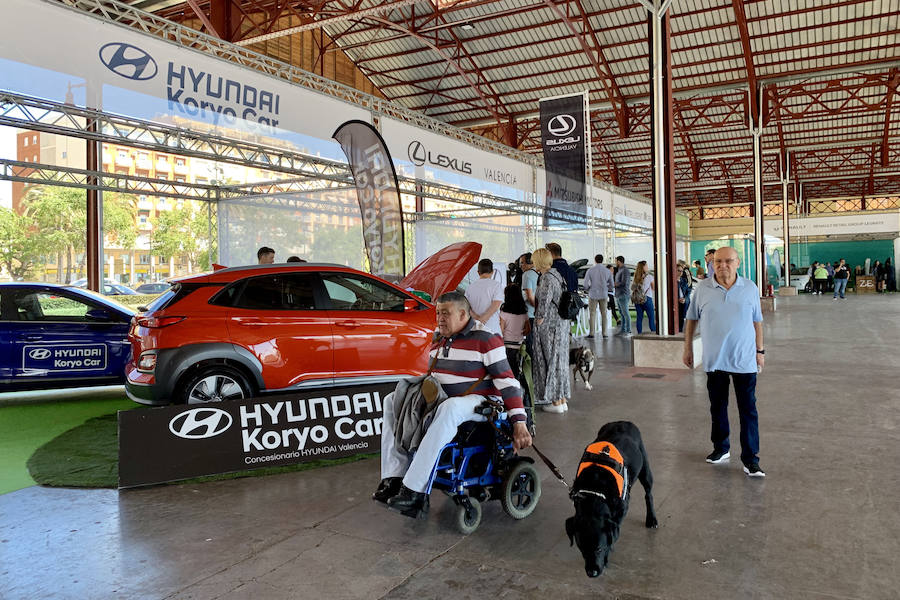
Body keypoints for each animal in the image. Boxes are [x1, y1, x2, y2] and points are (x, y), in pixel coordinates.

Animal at [568, 422, 656, 576]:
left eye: (599, 548)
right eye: (581, 548)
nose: (591, 572)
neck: (596, 490)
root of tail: (624, 421)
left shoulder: (621, 510)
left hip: (645, 469)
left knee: (648, 493)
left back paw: (651, 518)